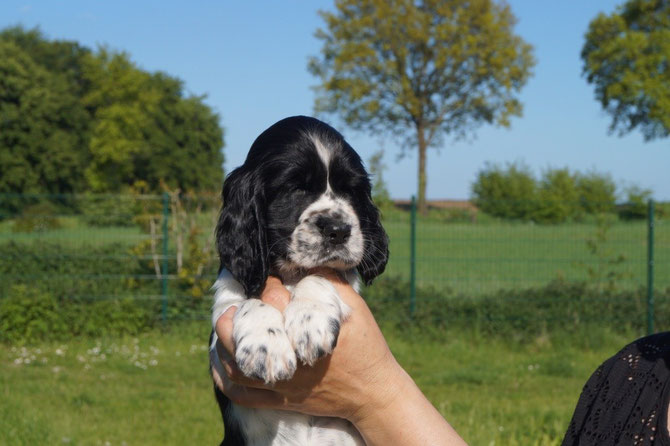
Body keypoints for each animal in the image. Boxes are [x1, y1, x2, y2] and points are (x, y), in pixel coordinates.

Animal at [209, 116, 388, 446]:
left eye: (351, 190)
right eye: (294, 188)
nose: (338, 229)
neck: (290, 274)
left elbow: (321, 274)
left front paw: (310, 319)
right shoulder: (222, 318)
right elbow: (249, 301)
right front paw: (265, 345)